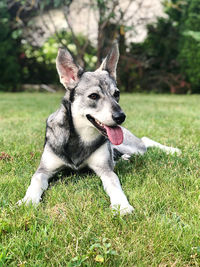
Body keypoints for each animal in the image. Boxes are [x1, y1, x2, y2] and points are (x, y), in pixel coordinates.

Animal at [18, 43, 180, 217]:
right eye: (94, 96)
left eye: (117, 94)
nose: (120, 117)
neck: (79, 137)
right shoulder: (44, 170)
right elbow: (35, 181)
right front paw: (28, 200)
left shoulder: (105, 170)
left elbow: (115, 184)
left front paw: (121, 205)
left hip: (133, 147)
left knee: (144, 141)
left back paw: (172, 150)